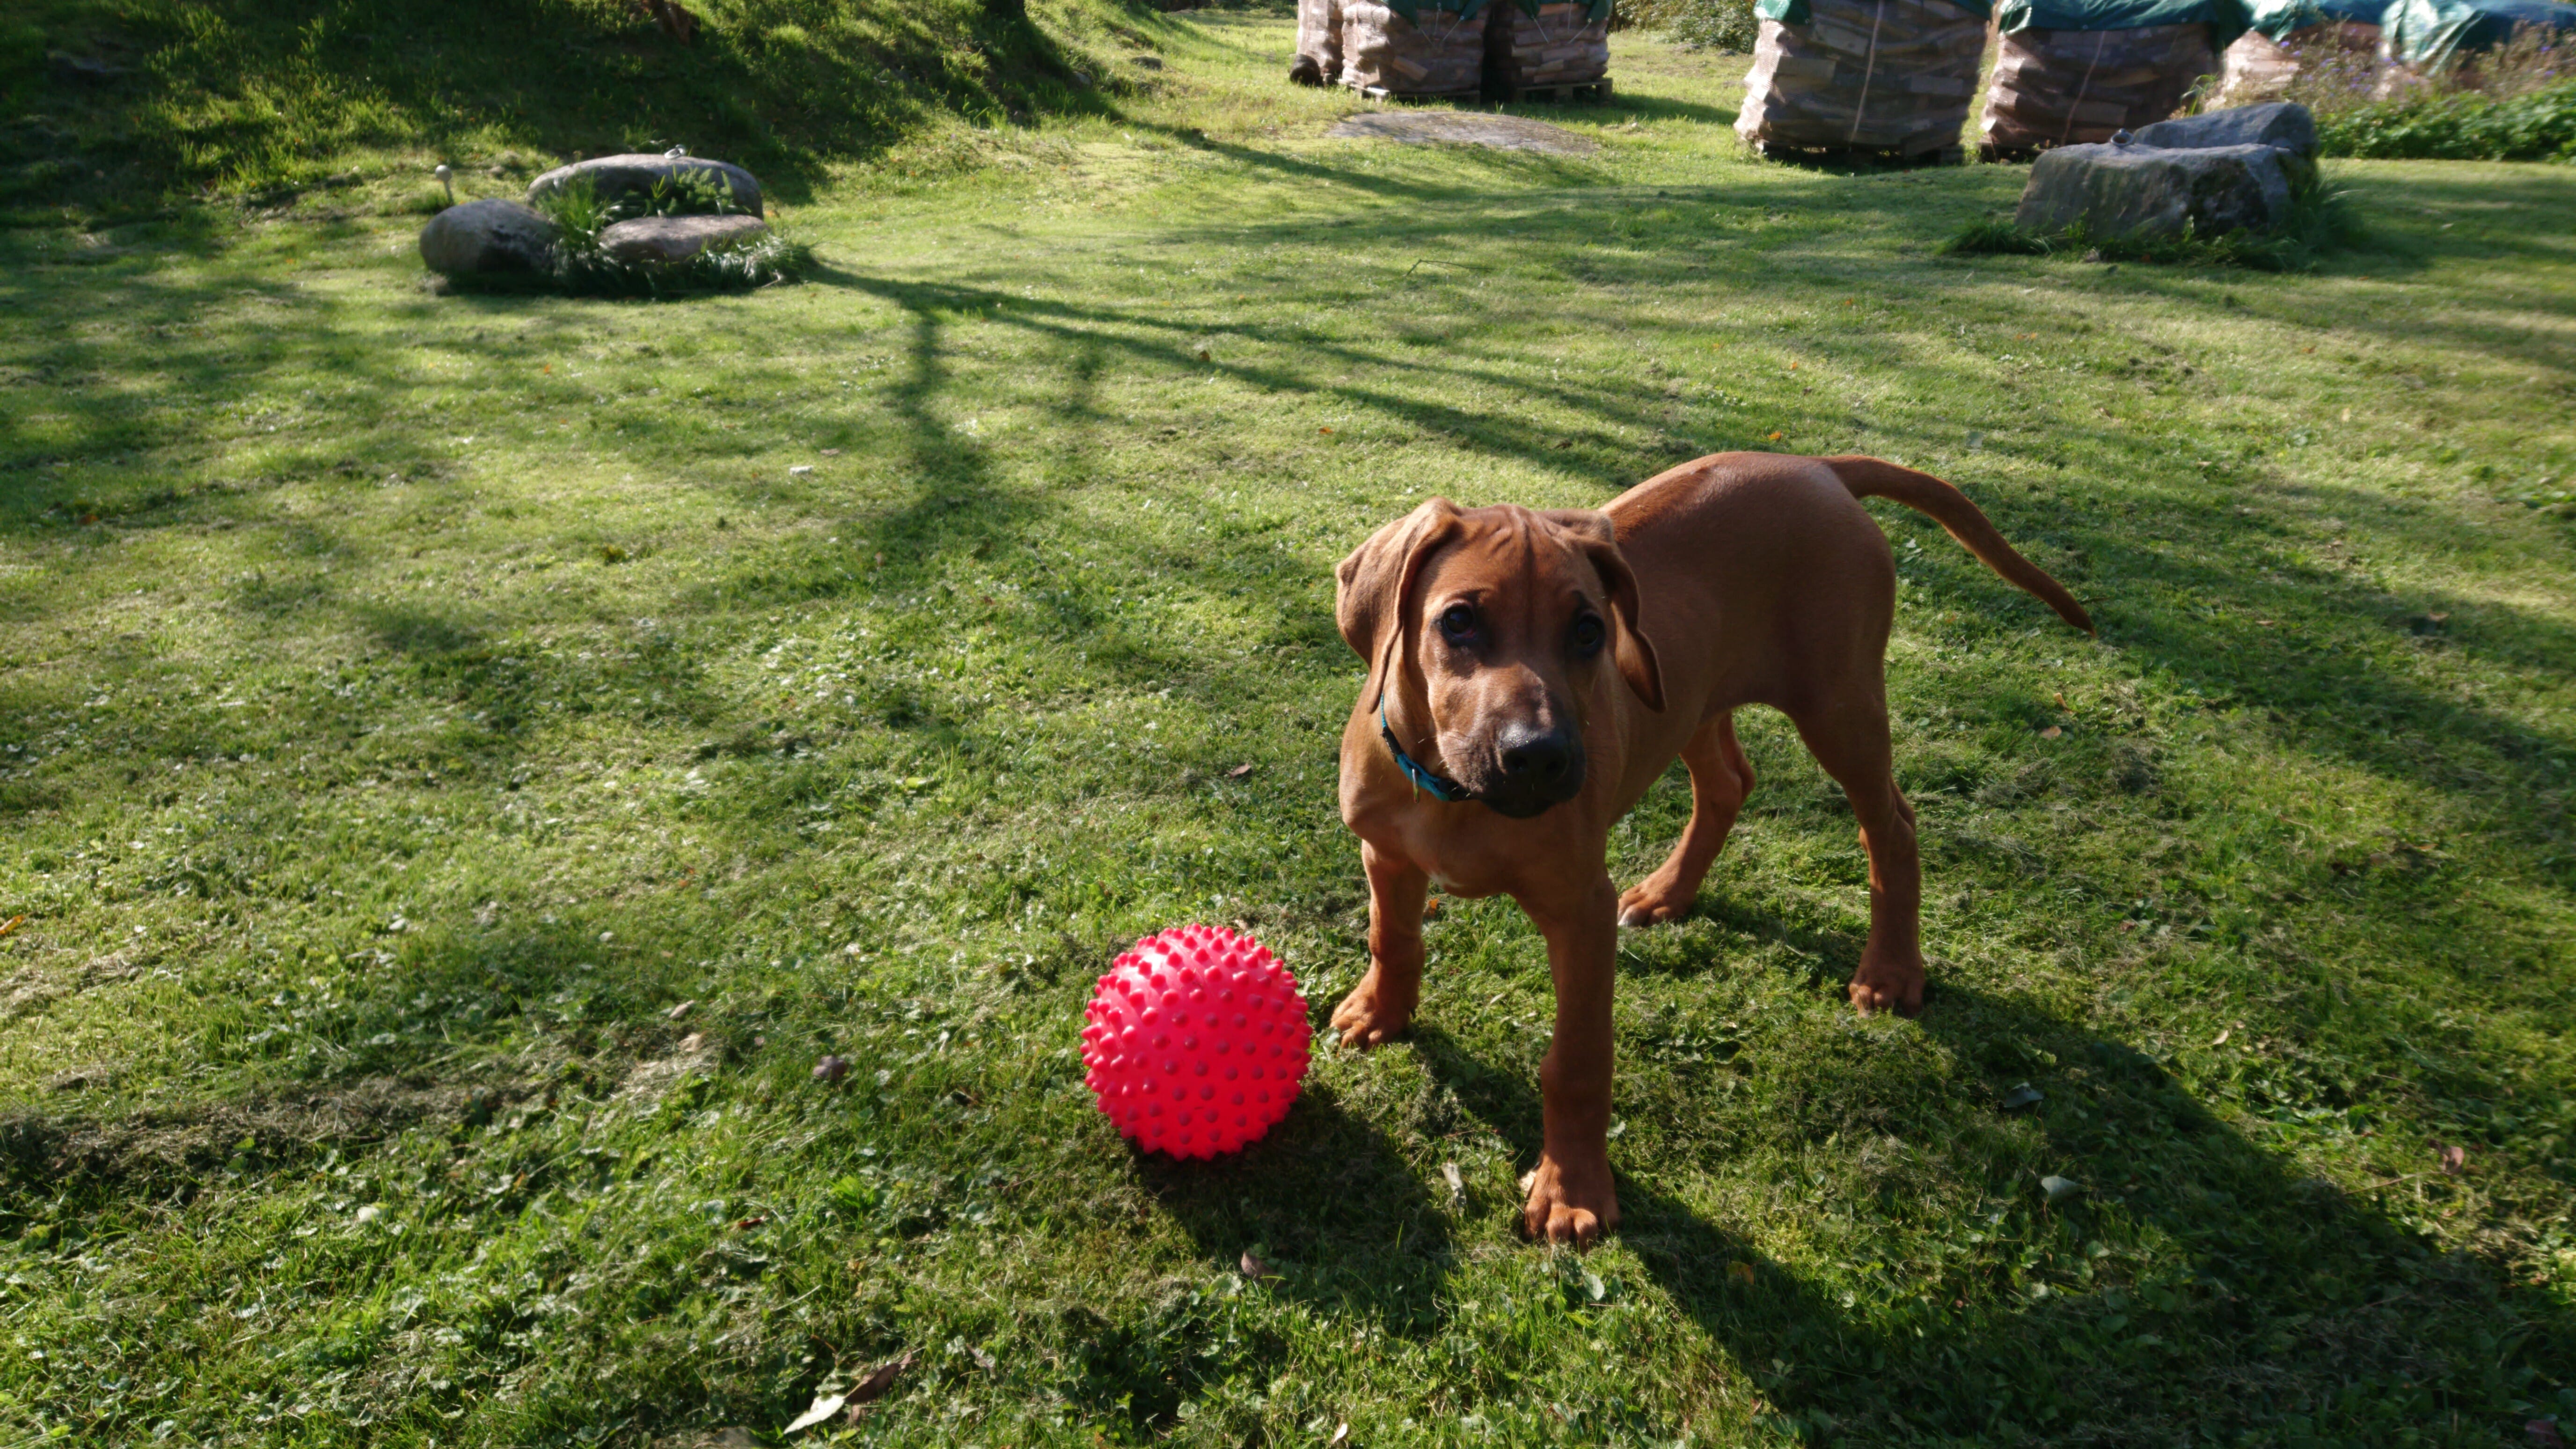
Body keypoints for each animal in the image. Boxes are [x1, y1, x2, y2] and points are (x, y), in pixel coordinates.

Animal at [1329, 452, 2093, 1245]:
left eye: (1588, 631)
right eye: (1458, 621)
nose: (1540, 758)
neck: (1453, 795)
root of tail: (1813, 465)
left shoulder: (1581, 911)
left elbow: (1577, 1059)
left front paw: (1573, 1188)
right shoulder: (1386, 854)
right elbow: (1393, 940)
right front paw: (1380, 1012)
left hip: (1839, 703)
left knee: (1893, 826)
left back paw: (1889, 971)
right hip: (1691, 695)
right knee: (1729, 784)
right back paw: (1668, 893)